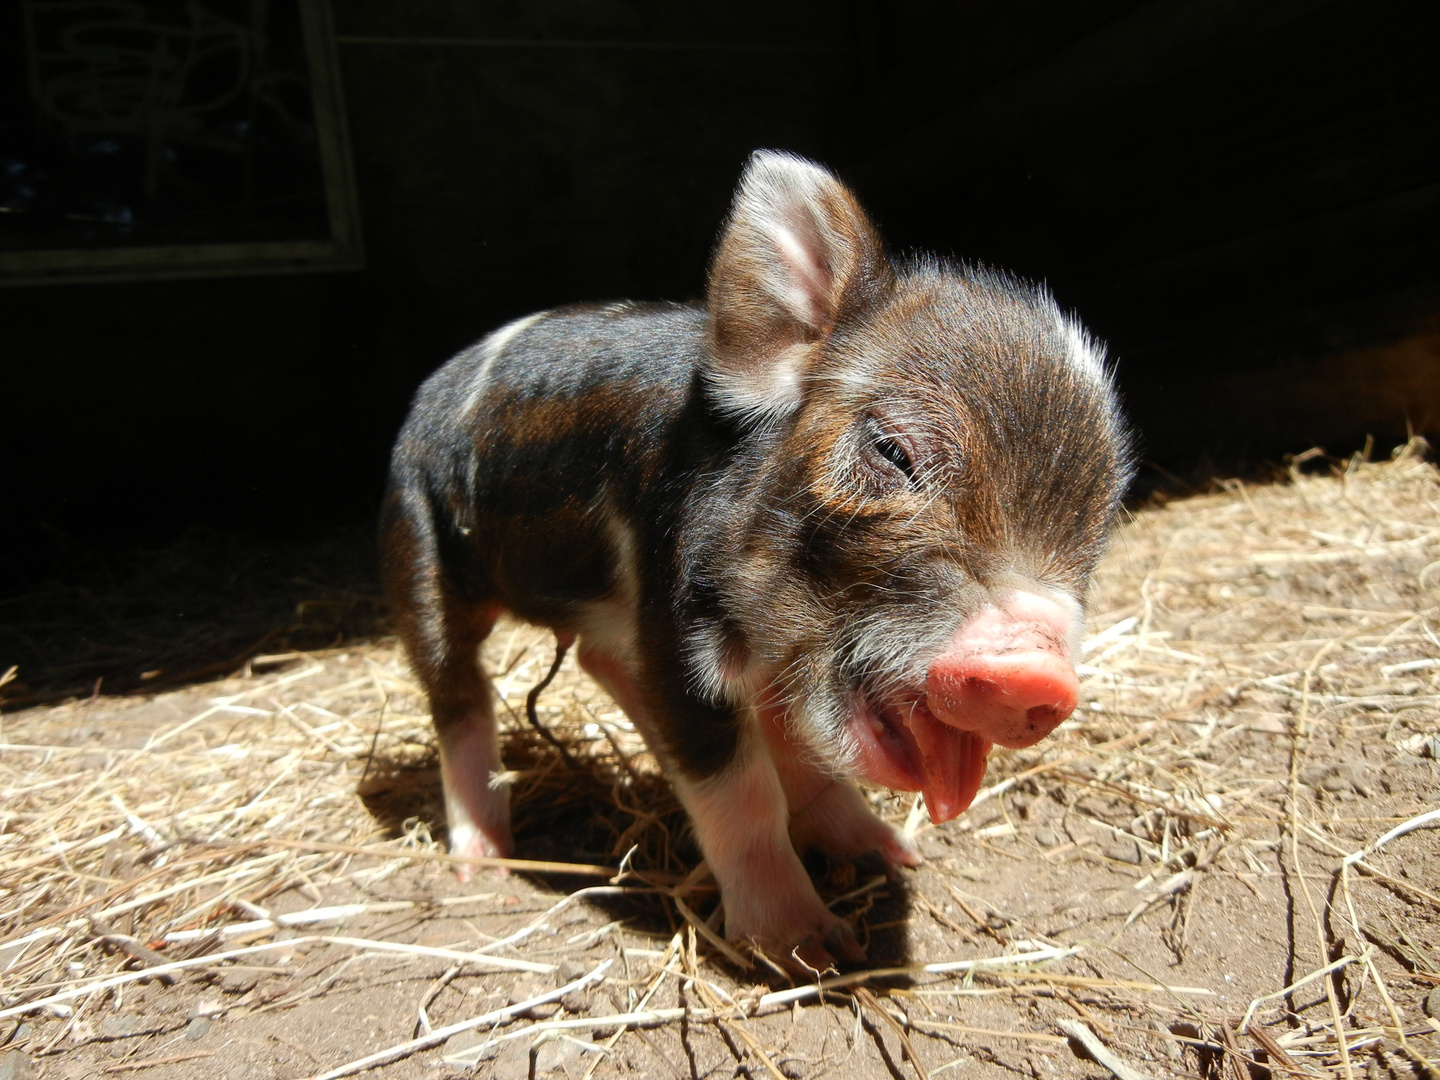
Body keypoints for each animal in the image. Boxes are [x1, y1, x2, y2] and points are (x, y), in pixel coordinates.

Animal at [383, 150, 1134, 973]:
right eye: (893, 452)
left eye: (1103, 523)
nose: (1037, 671)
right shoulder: (678, 622)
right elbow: (742, 791)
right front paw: (810, 953)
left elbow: (799, 758)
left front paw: (894, 857)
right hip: (415, 543)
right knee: (460, 693)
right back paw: (482, 863)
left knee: (594, 660)